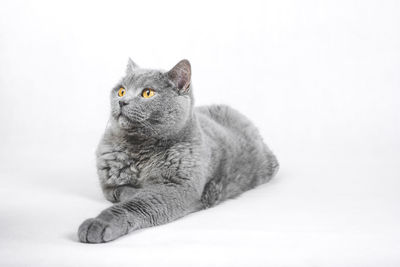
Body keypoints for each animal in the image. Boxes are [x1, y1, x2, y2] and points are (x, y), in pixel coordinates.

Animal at [77, 59, 278, 244]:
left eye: (147, 93)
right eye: (121, 90)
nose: (122, 101)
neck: (140, 148)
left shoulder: (178, 186)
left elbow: (137, 203)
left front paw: (98, 223)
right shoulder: (108, 182)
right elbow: (119, 191)